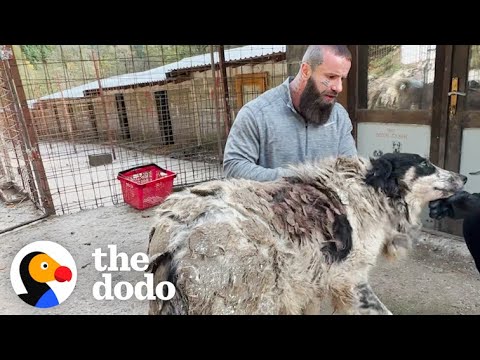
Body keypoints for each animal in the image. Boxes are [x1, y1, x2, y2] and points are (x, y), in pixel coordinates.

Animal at [146, 153, 464, 316]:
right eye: (425, 164)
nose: (463, 177)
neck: (372, 189)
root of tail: (176, 239)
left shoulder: (313, 279)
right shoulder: (350, 279)